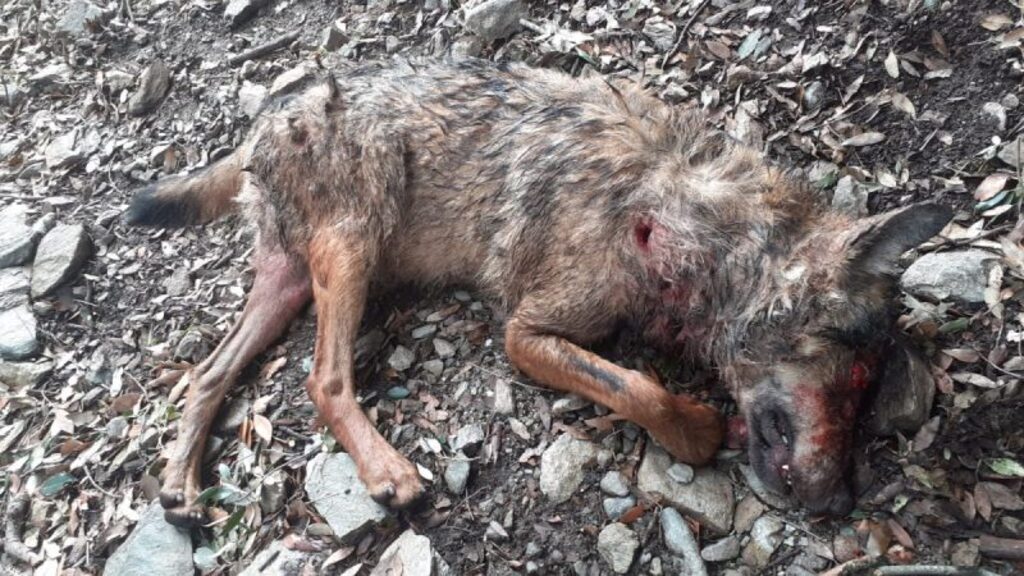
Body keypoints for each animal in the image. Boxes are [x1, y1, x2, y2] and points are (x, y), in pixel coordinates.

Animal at [125, 58, 951, 525]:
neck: (687, 227)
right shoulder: (524, 332)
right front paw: (698, 426)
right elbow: (640, 389)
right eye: (857, 376)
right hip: (356, 236)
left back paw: (179, 487)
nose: (843, 506)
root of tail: (263, 120)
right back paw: (388, 474)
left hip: (292, 281)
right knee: (322, 379)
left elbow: (636, 383)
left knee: (208, 373)